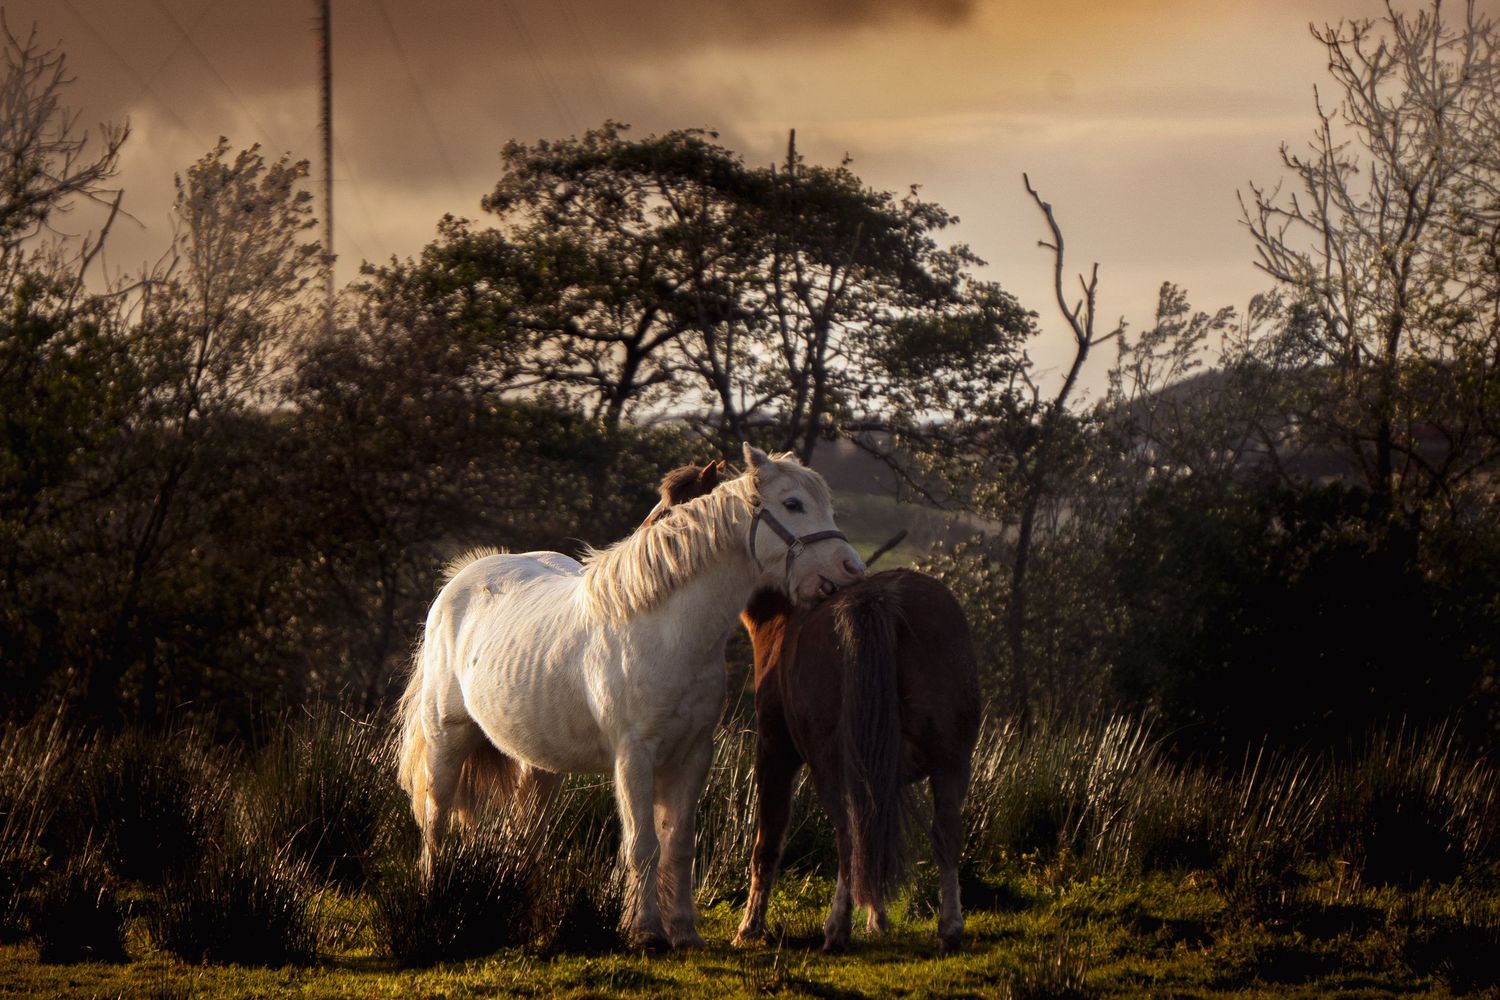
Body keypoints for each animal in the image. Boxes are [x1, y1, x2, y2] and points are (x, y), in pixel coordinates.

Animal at [395, 445, 866, 950]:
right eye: (793, 504)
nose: (851, 570)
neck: (664, 630)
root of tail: (460, 579)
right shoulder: (634, 755)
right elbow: (643, 844)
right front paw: (646, 932)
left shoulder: (692, 754)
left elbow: (678, 844)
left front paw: (683, 930)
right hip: (447, 737)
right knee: (437, 820)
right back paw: (431, 898)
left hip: (539, 764)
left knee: (527, 832)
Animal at [650, 463, 981, 953]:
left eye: (672, 507)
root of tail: (878, 601)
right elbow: (879, 837)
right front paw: (877, 918)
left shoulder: (774, 754)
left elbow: (767, 843)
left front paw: (750, 926)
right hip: (950, 761)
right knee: (943, 833)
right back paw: (950, 926)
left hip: (834, 765)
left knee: (845, 834)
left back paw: (836, 928)